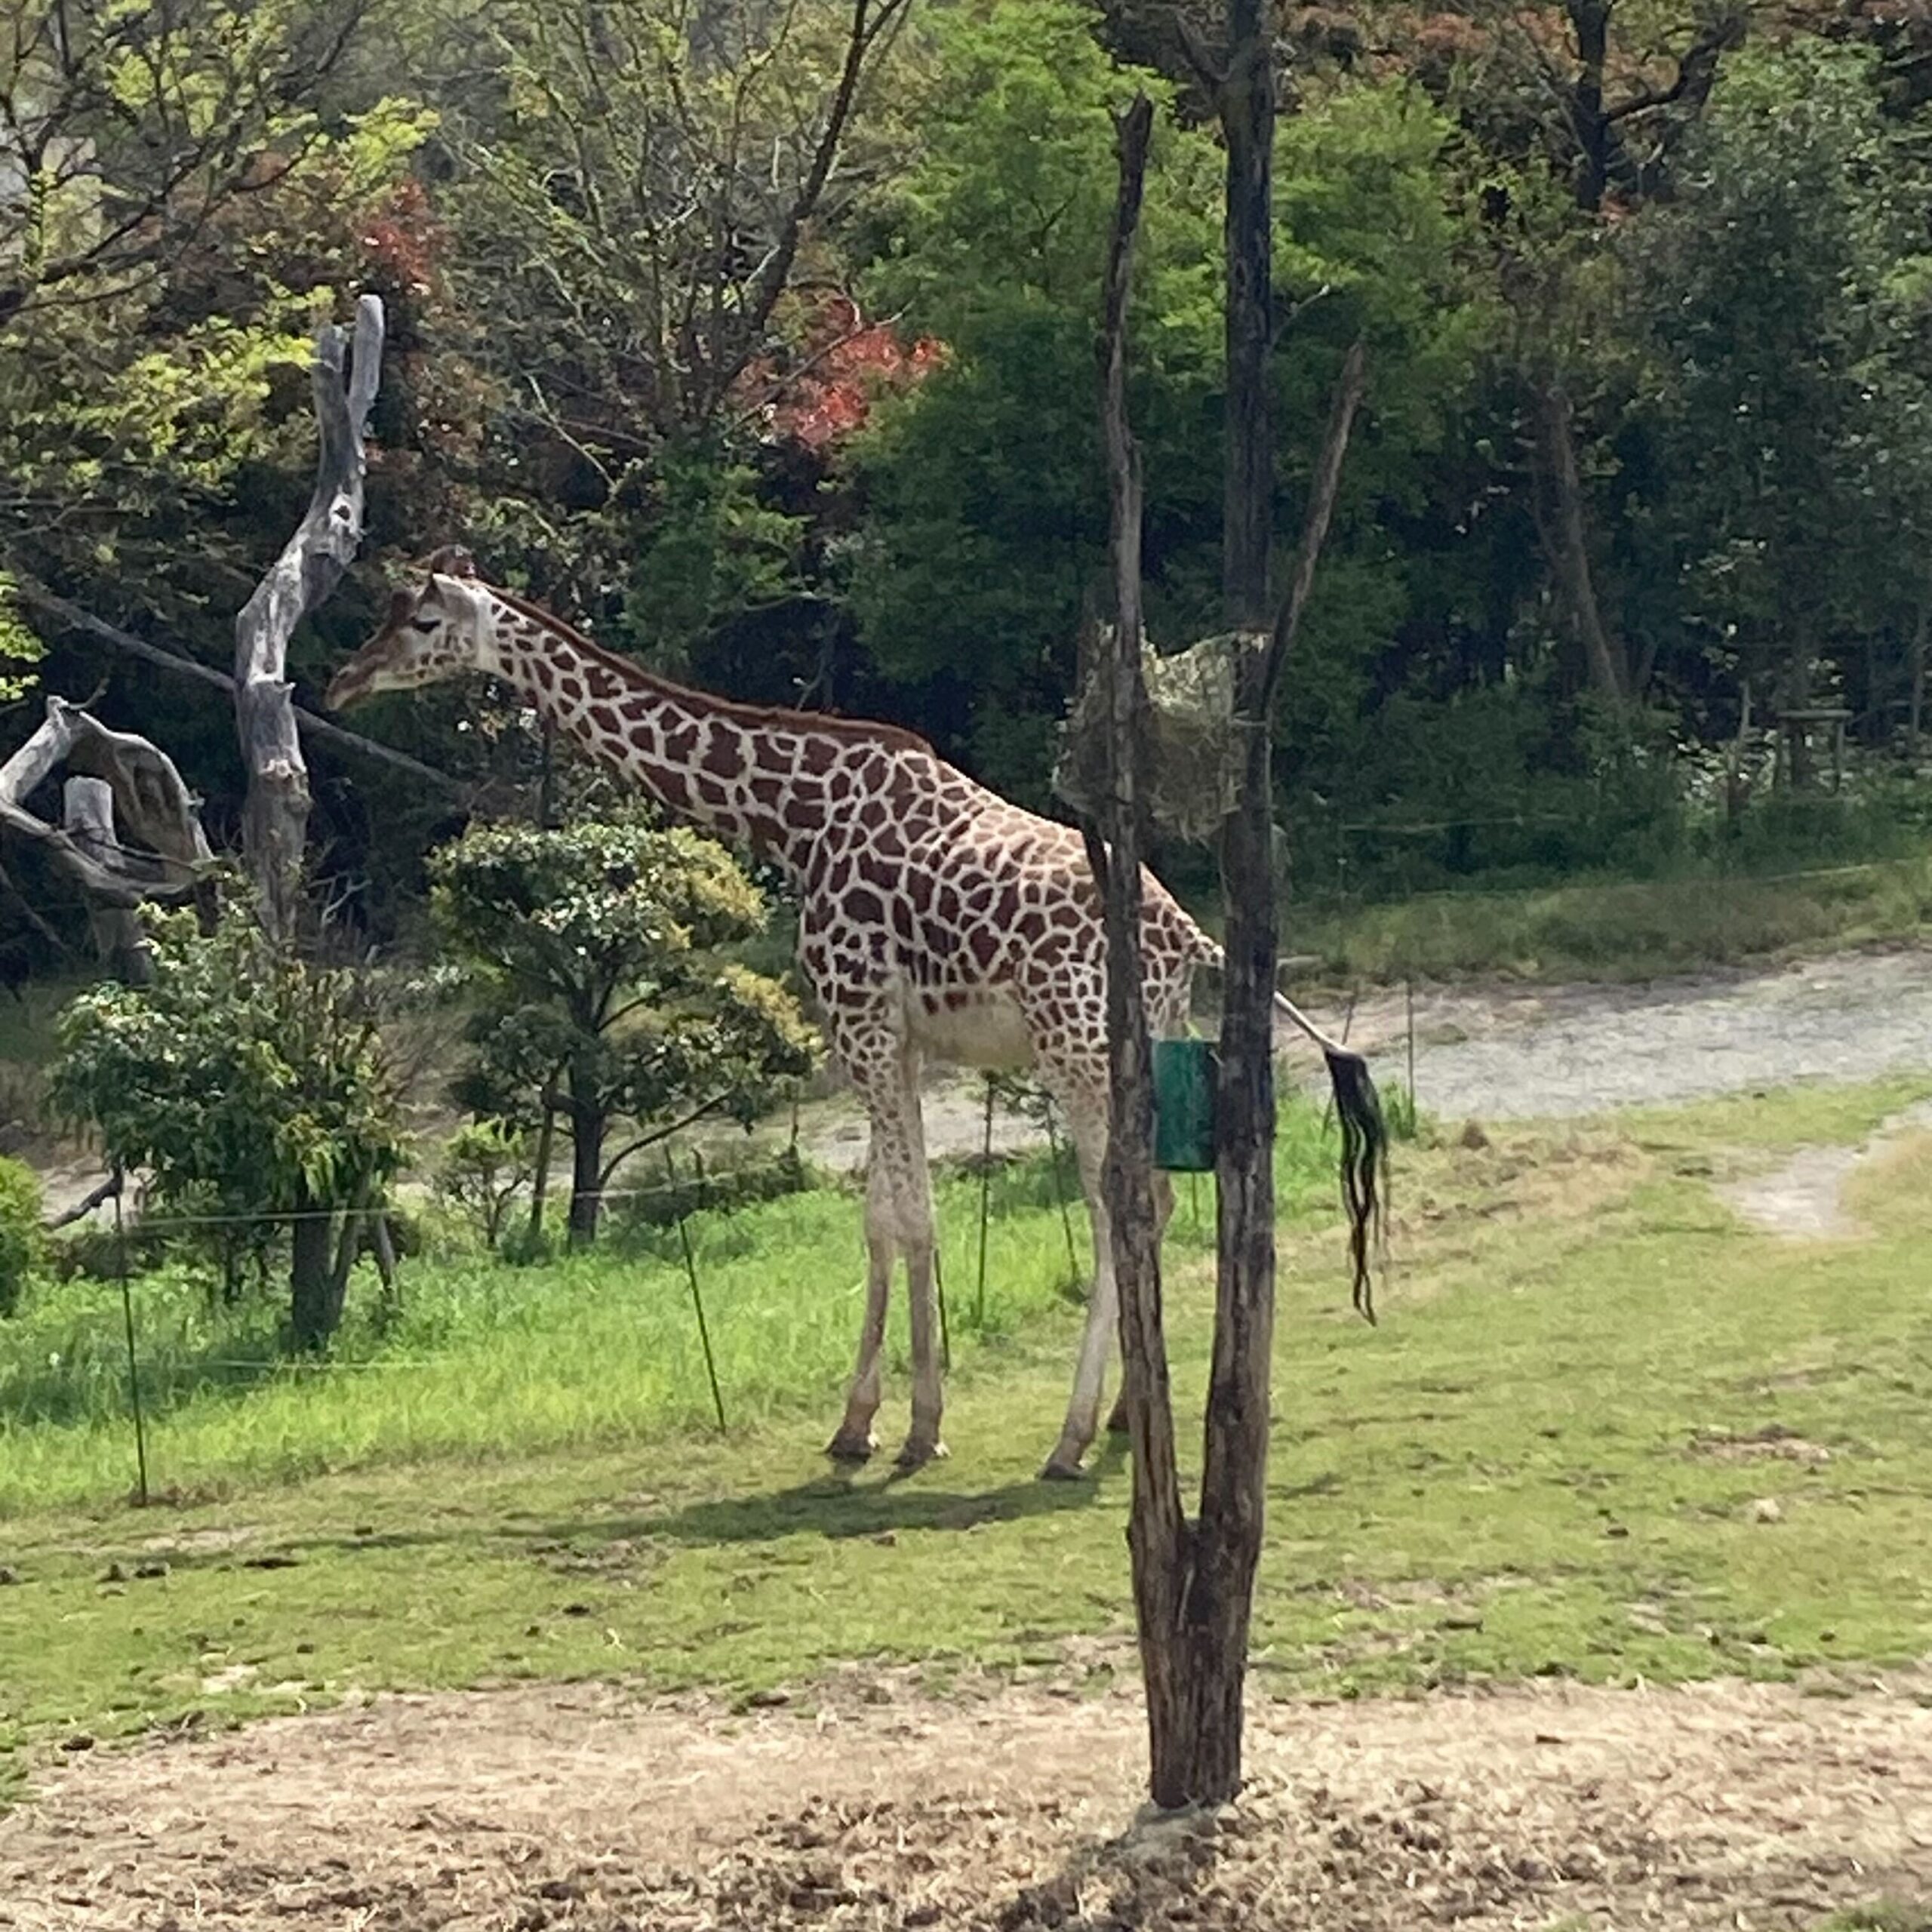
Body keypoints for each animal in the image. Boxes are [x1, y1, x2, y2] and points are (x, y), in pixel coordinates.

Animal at [332, 556, 1391, 1475]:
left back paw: (1070, 1435)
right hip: (1146, 1039)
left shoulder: (860, 1018)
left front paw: (922, 1427)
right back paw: (1129, 1413)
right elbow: (879, 1215)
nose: (344, 677)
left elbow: (915, 1215)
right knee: (1152, 1200)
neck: (791, 821)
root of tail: (1189, 938)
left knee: (1119, 1202)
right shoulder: (896, 1034)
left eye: (420, 622)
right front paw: (856, 1424)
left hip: (1076, 1045)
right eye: (382, 615)